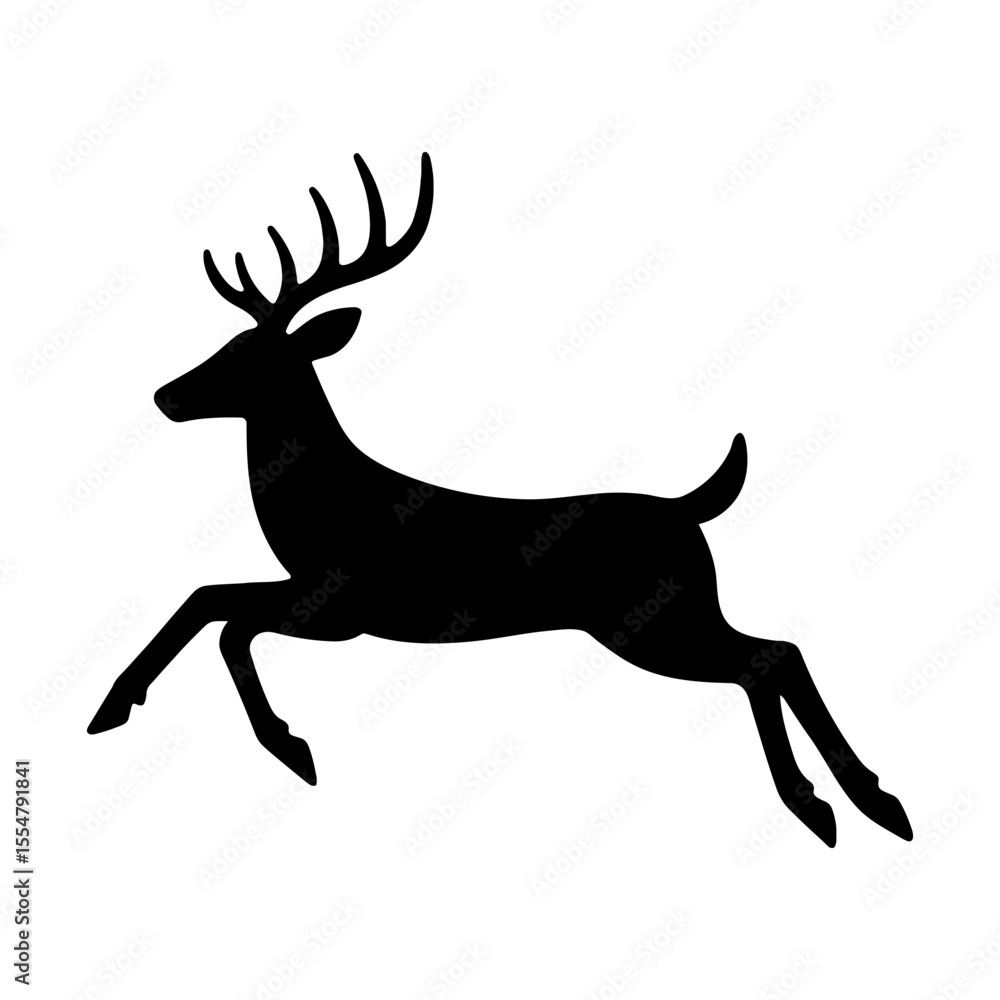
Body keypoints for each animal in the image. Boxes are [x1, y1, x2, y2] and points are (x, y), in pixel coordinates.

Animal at [88, 152, 912, 848]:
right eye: (226, 344)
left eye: (250, 356)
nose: (165, 395)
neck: (319, 503)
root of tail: (689, 506)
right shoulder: (316, 593)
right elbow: (206, 601)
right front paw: (112, 706)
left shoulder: (343, 605)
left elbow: (228, 623)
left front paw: (291, 747)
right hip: (674, 615)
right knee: (776, 653)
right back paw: (869, 801)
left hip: (653, 620)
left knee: (767, 657)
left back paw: (830, 805)